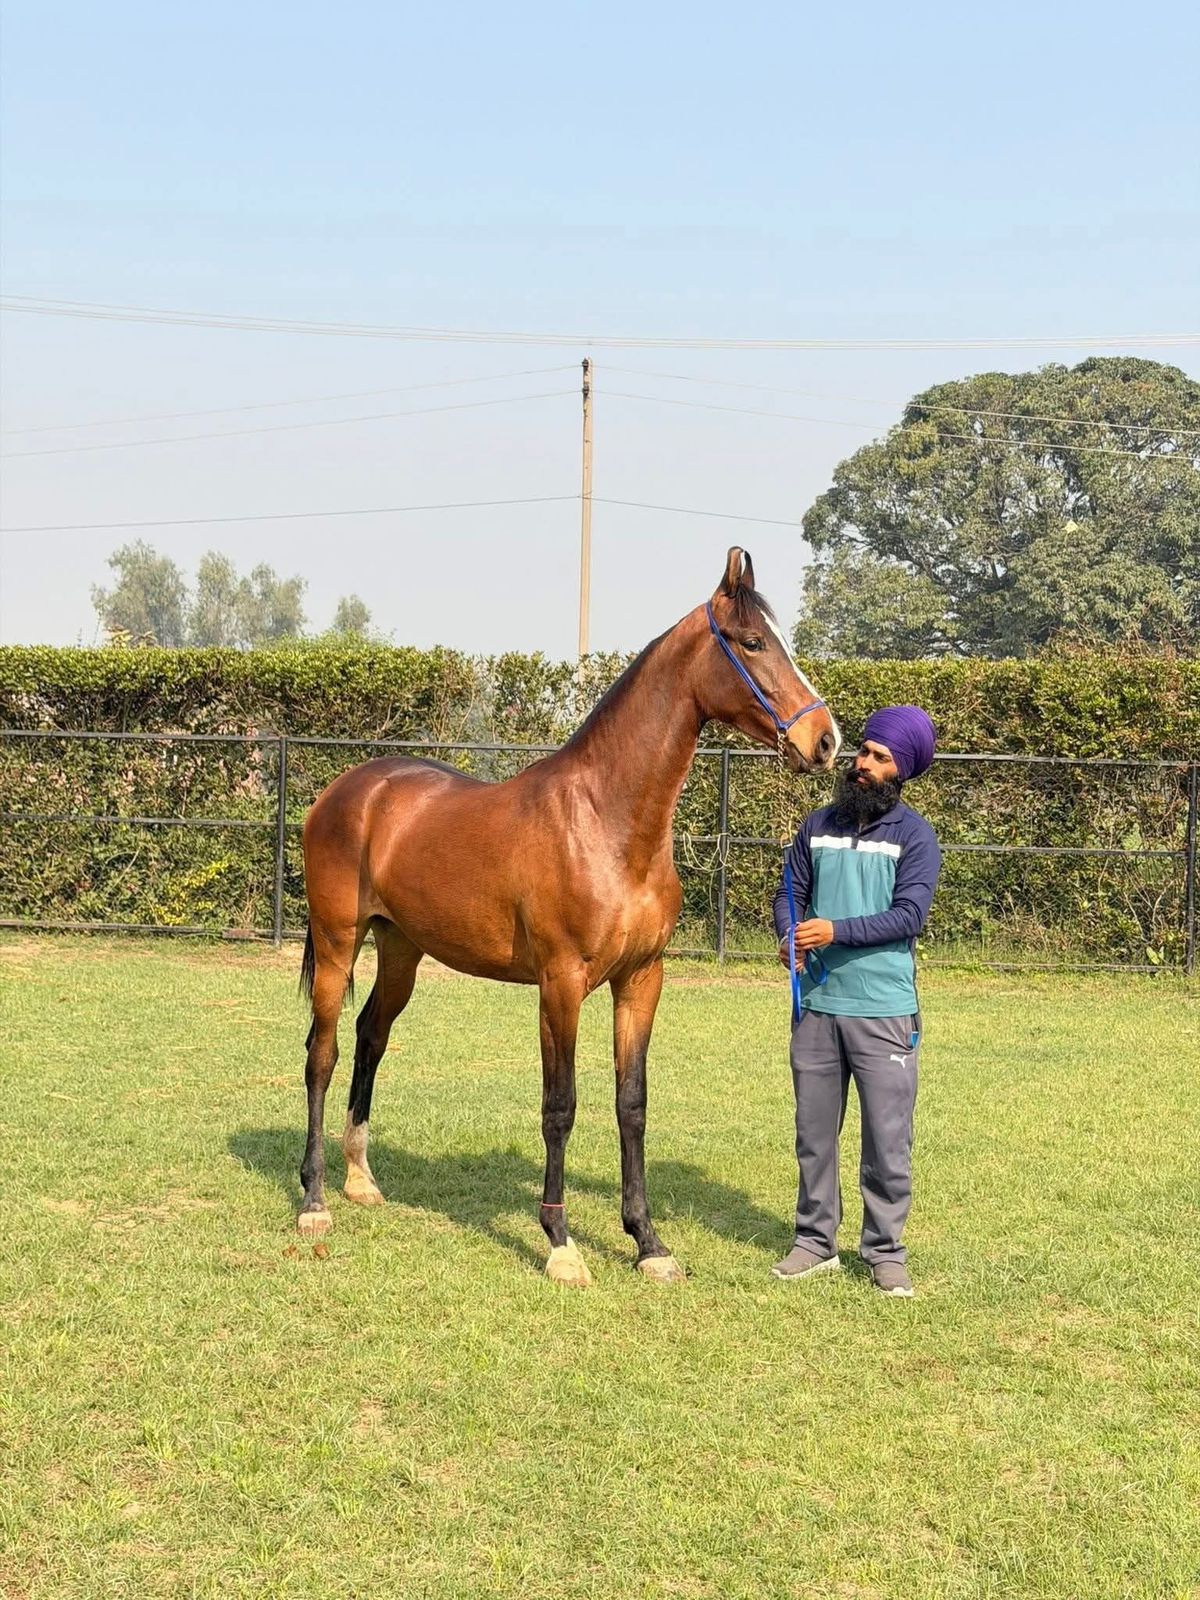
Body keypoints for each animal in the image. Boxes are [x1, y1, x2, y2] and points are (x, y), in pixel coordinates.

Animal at [297, 547, 840, 1286]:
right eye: (753, 642)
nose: (826, 740)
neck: (607, 822)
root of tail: (349, 790)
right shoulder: (561, 985)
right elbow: (561, 1106)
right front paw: (560, 1243)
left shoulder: (641, 980)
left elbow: (631, 1104)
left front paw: (648, 1243)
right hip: (337, 943)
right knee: (321, 1054)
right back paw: (315, 1200)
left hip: (402, 950)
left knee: (370, 1038)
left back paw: (360, 1177)